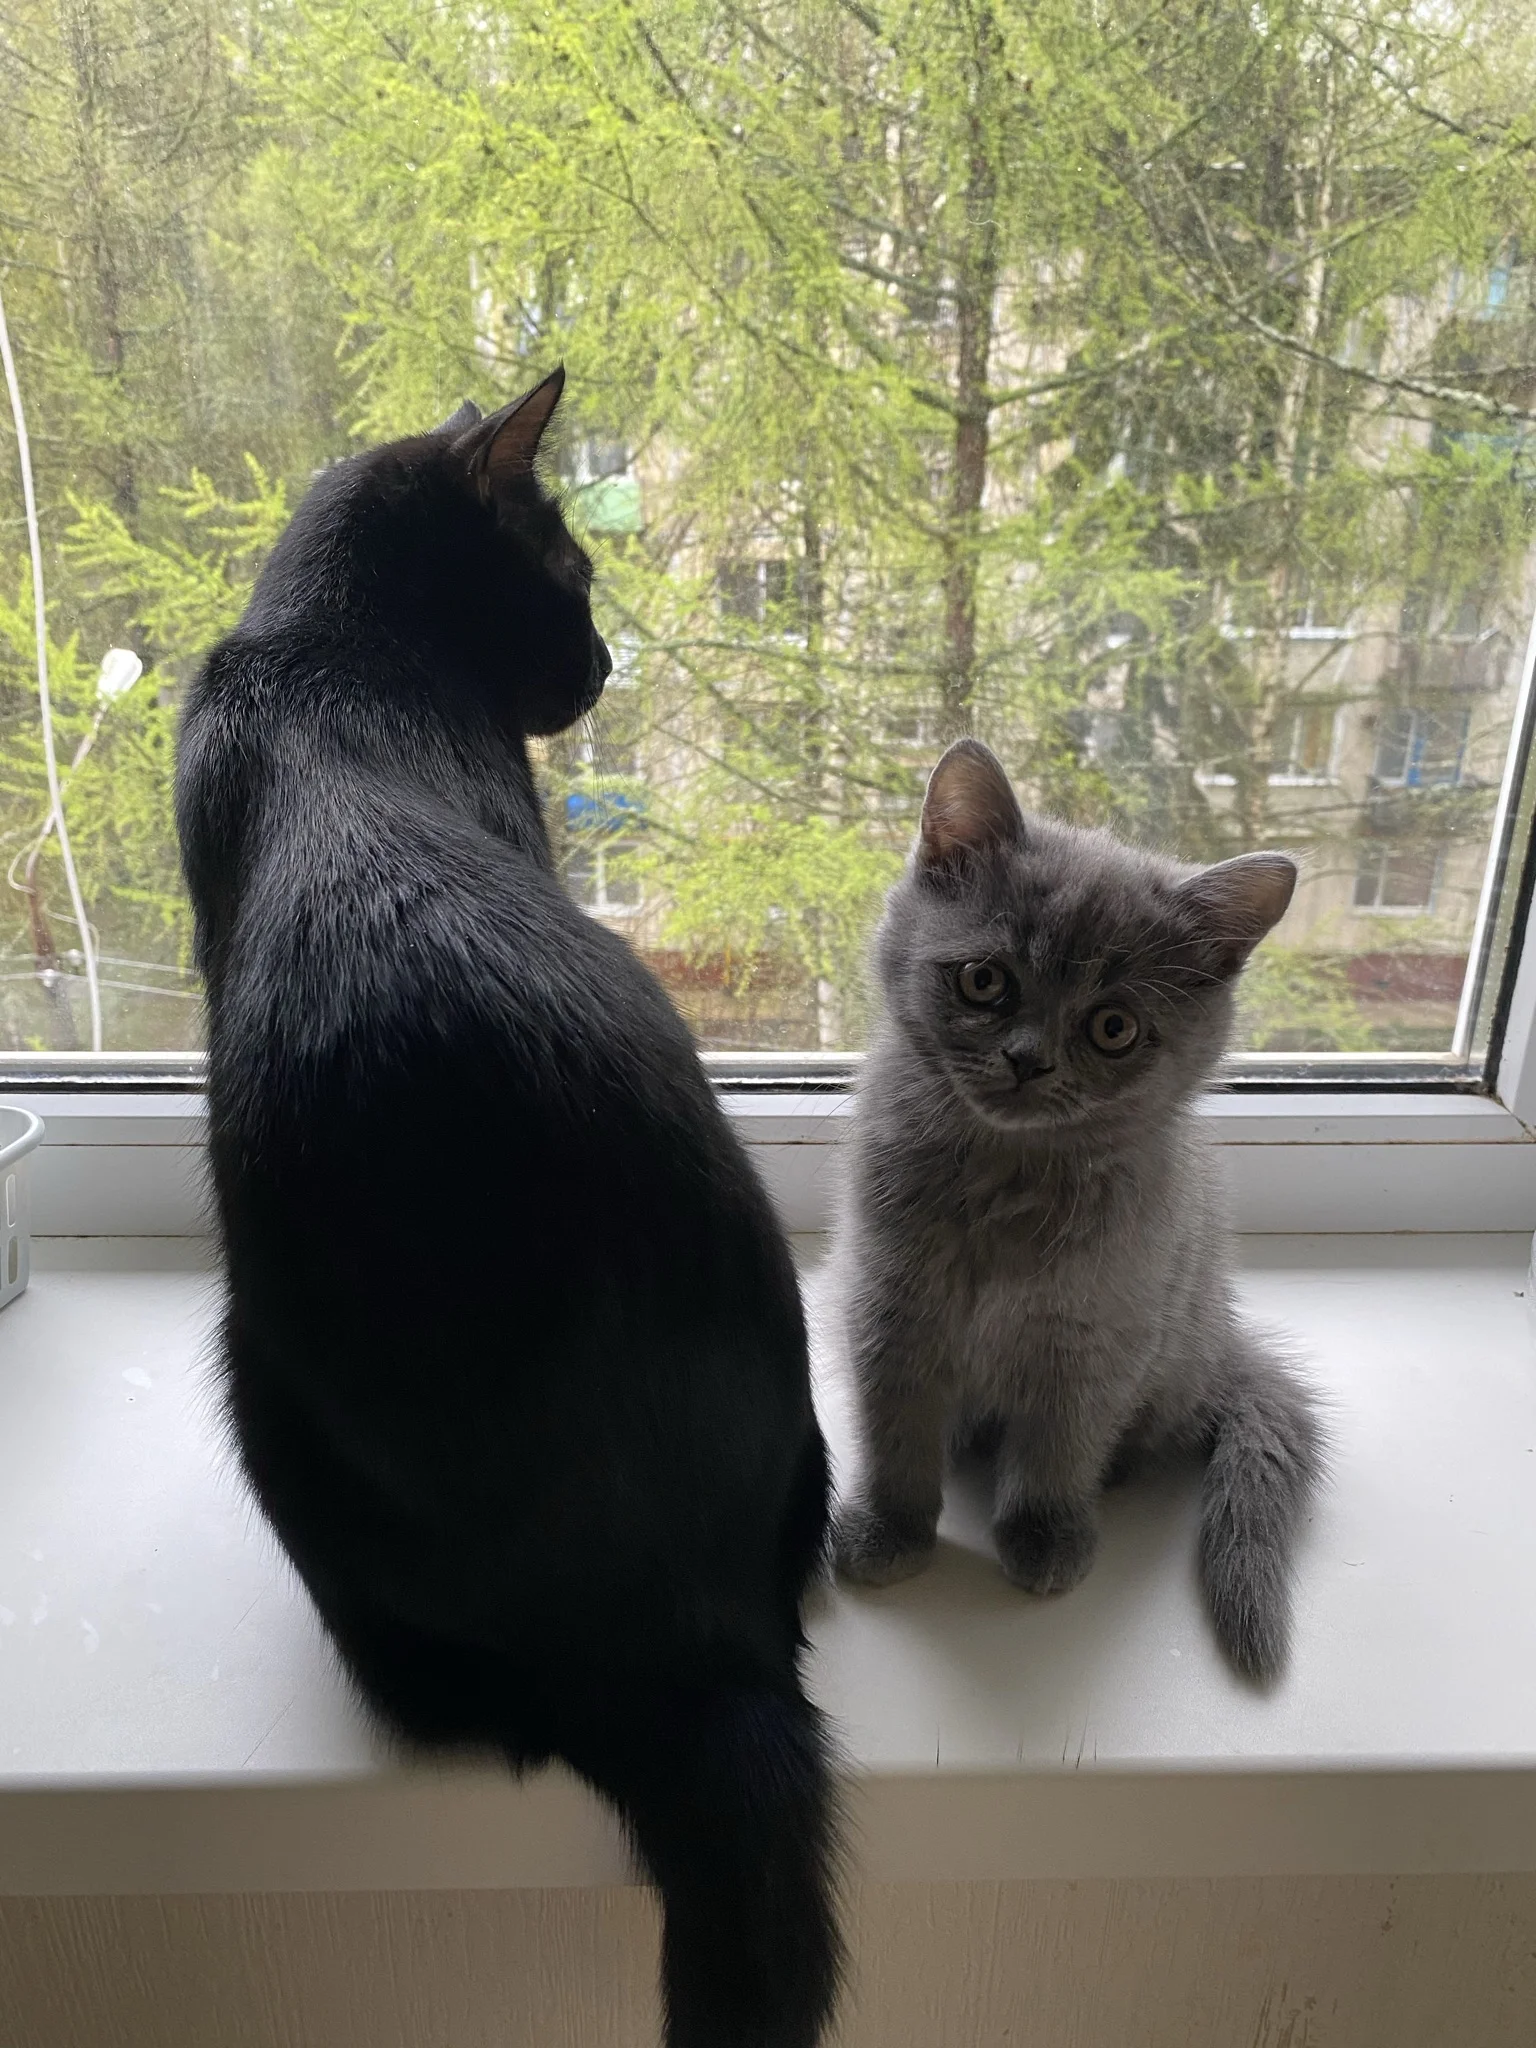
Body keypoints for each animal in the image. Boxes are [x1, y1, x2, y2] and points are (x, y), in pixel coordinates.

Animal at [832, 737, 1324, 1681]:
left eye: (1113, 1028)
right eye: (984, 980)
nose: (1028, 1061)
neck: (1005, 1182)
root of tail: (1223, 1342)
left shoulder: (1093, 1335)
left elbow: (1057, 1447)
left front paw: (1044, 1533)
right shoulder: (888, 1308)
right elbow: (893, 1430)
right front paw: (889, 1528)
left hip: (1171, 1345)